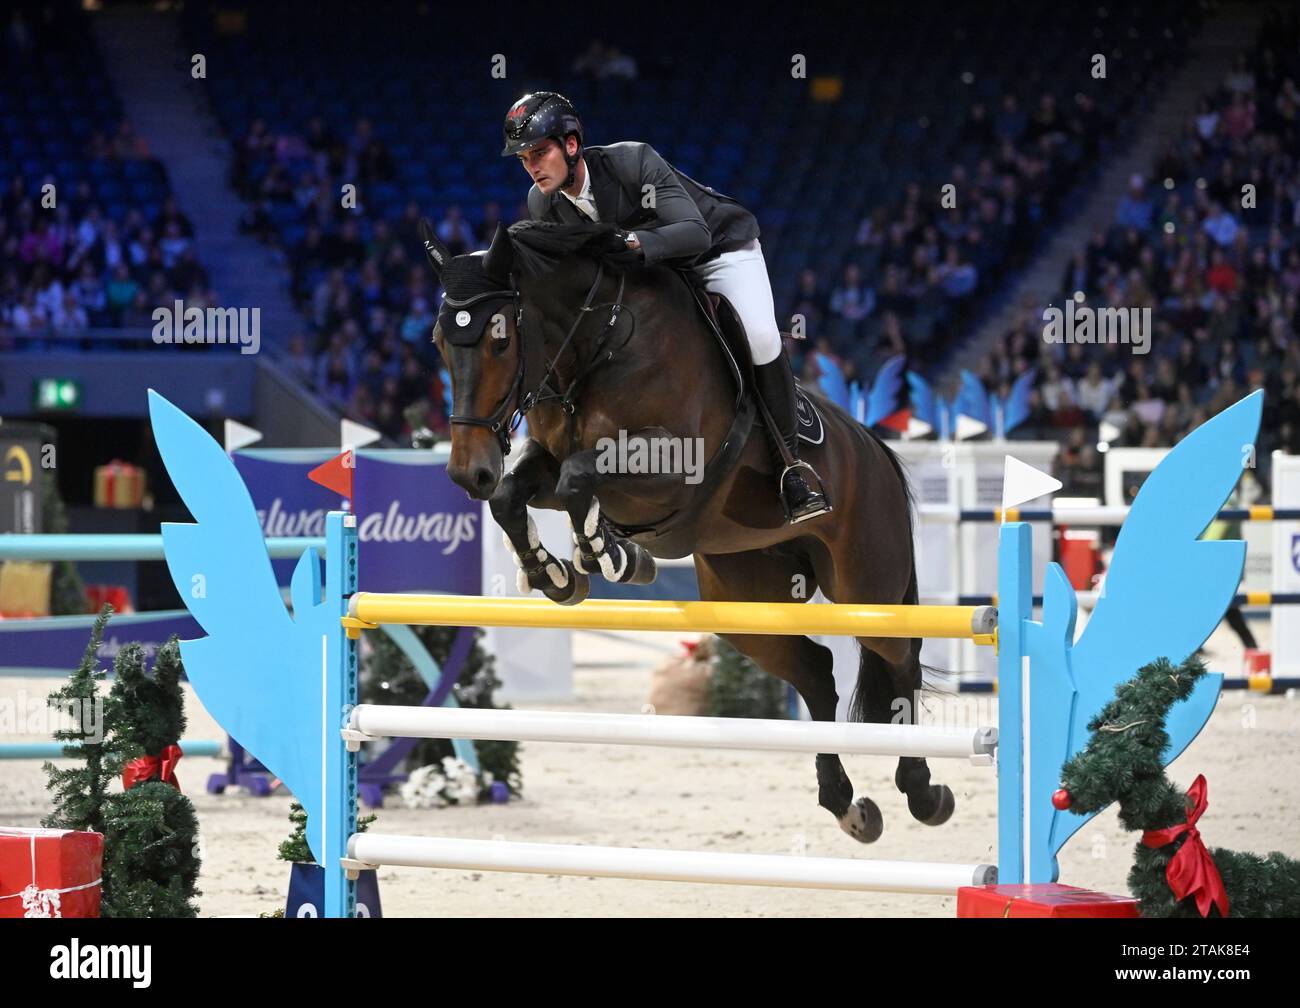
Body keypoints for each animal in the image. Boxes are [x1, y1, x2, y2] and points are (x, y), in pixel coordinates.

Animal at [426, 218, 956, 842]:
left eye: (501, 341)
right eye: (438, 343)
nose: (468, 473)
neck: (596, 344)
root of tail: (876, 448)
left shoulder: (672, 466)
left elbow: (583, 477)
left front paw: (608, 555)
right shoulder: (549, 466)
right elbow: (517, 494)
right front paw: (557, 573)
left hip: (865, 588)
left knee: (900, 659)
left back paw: (923, 791)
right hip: (746, 599)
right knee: (817, 673)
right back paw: (847, 804)